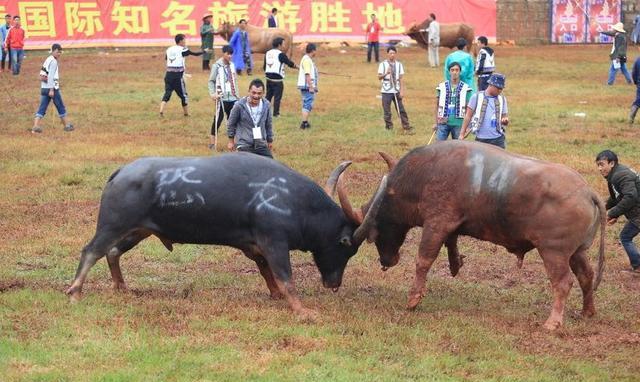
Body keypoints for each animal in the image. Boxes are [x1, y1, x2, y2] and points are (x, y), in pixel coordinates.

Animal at [65, 152, 376, 320]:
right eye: (346, 244)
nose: (333, 283)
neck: (290, 198)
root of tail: (121, 172)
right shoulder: (274, 242)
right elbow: (285, 278)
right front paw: (302, 310)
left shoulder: (255, 247)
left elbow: (267, 272)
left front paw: (275, 295)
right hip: (112, 226)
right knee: (92, 251)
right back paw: (75, 291)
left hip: (138, 231)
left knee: (112, 252)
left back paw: (121, 286)